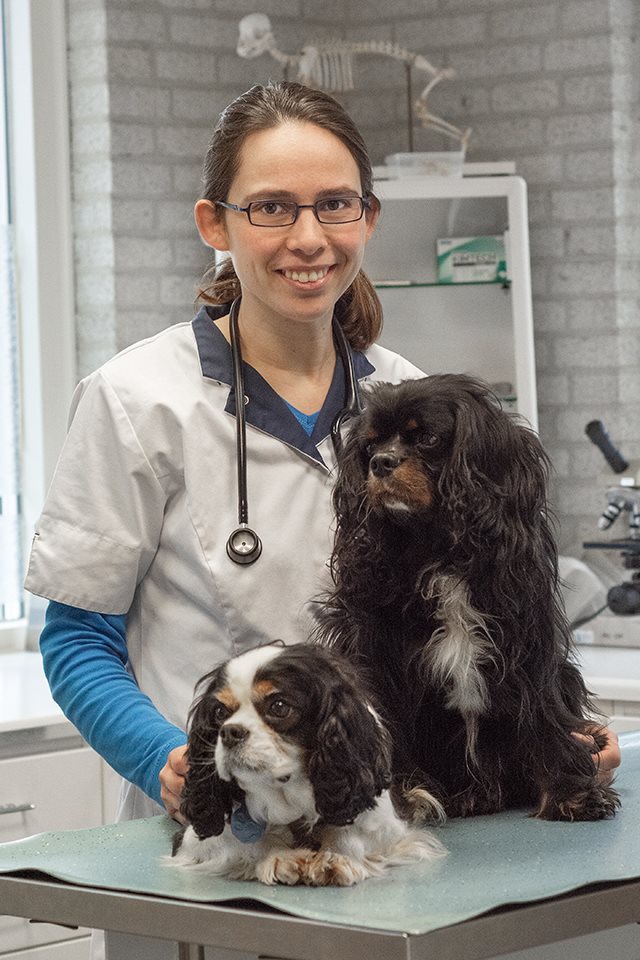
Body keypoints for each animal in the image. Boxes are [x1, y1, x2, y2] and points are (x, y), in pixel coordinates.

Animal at [320, 372, 620, 820]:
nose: (380, 463)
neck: (438, 553)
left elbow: (545, 715)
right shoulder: (376, 659)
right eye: (370, 447)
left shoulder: (528, 649)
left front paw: (572, 793)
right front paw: (403, 796)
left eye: (426, 438)